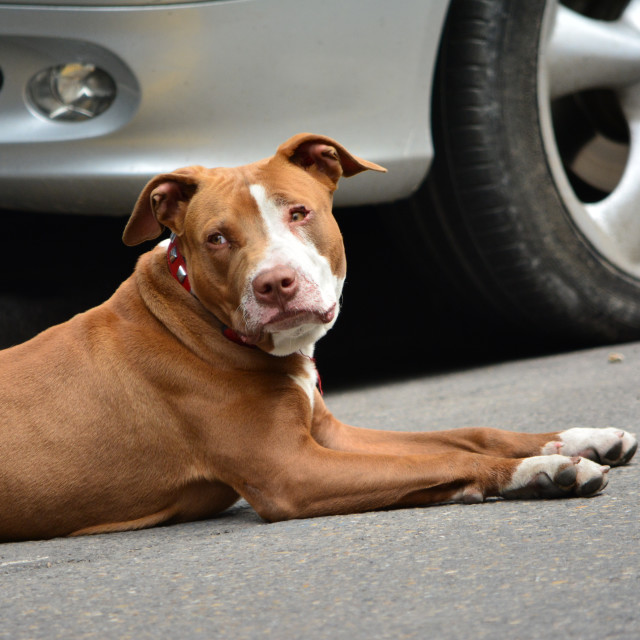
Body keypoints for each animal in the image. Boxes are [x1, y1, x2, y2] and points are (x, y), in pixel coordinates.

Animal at [1, 134, 636, 540]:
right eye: (216, 238)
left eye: (299, 213)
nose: (275, 284)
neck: (197, 319)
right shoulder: (293, 471)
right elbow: (439, 458)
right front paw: (537, 470)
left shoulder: (328, 433)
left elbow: (465, 436)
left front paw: (580, 438)